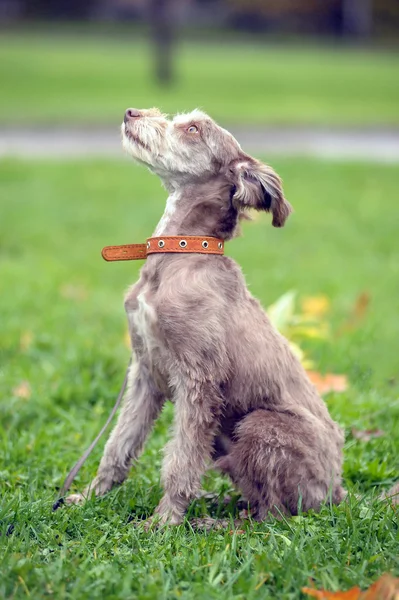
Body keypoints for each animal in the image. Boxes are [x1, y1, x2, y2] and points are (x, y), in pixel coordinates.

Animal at [65, 108, 346, 524]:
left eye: (194, 129)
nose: (132, 112)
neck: (180, 254)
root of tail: (337, 490)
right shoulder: (144, 374)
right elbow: (119, 444)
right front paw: (90, 496)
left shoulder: (199, 381)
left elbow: (180, 459)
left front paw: (163, 521)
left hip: (259, 426)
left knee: (274, 514)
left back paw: (212, 522)